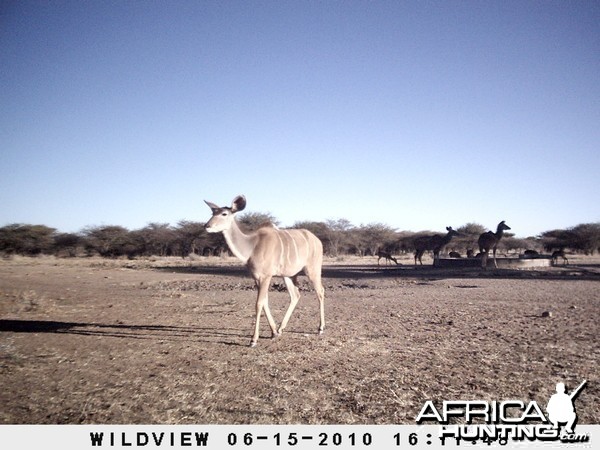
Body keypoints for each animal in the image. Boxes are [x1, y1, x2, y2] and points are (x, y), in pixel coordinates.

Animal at [204, 195, 324, 346]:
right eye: (212, 213)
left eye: (224, 214)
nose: (207, 226)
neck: (252, 246)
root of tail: (317, 240)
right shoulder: (257, 278)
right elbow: (265, 302)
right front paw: (273, 333)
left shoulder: (266, 276)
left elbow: (259, 303)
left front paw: (253, 340)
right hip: (289, 275)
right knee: (295, 295)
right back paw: (281, 329)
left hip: (312, 270)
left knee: (320, 292)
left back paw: (320, 328)